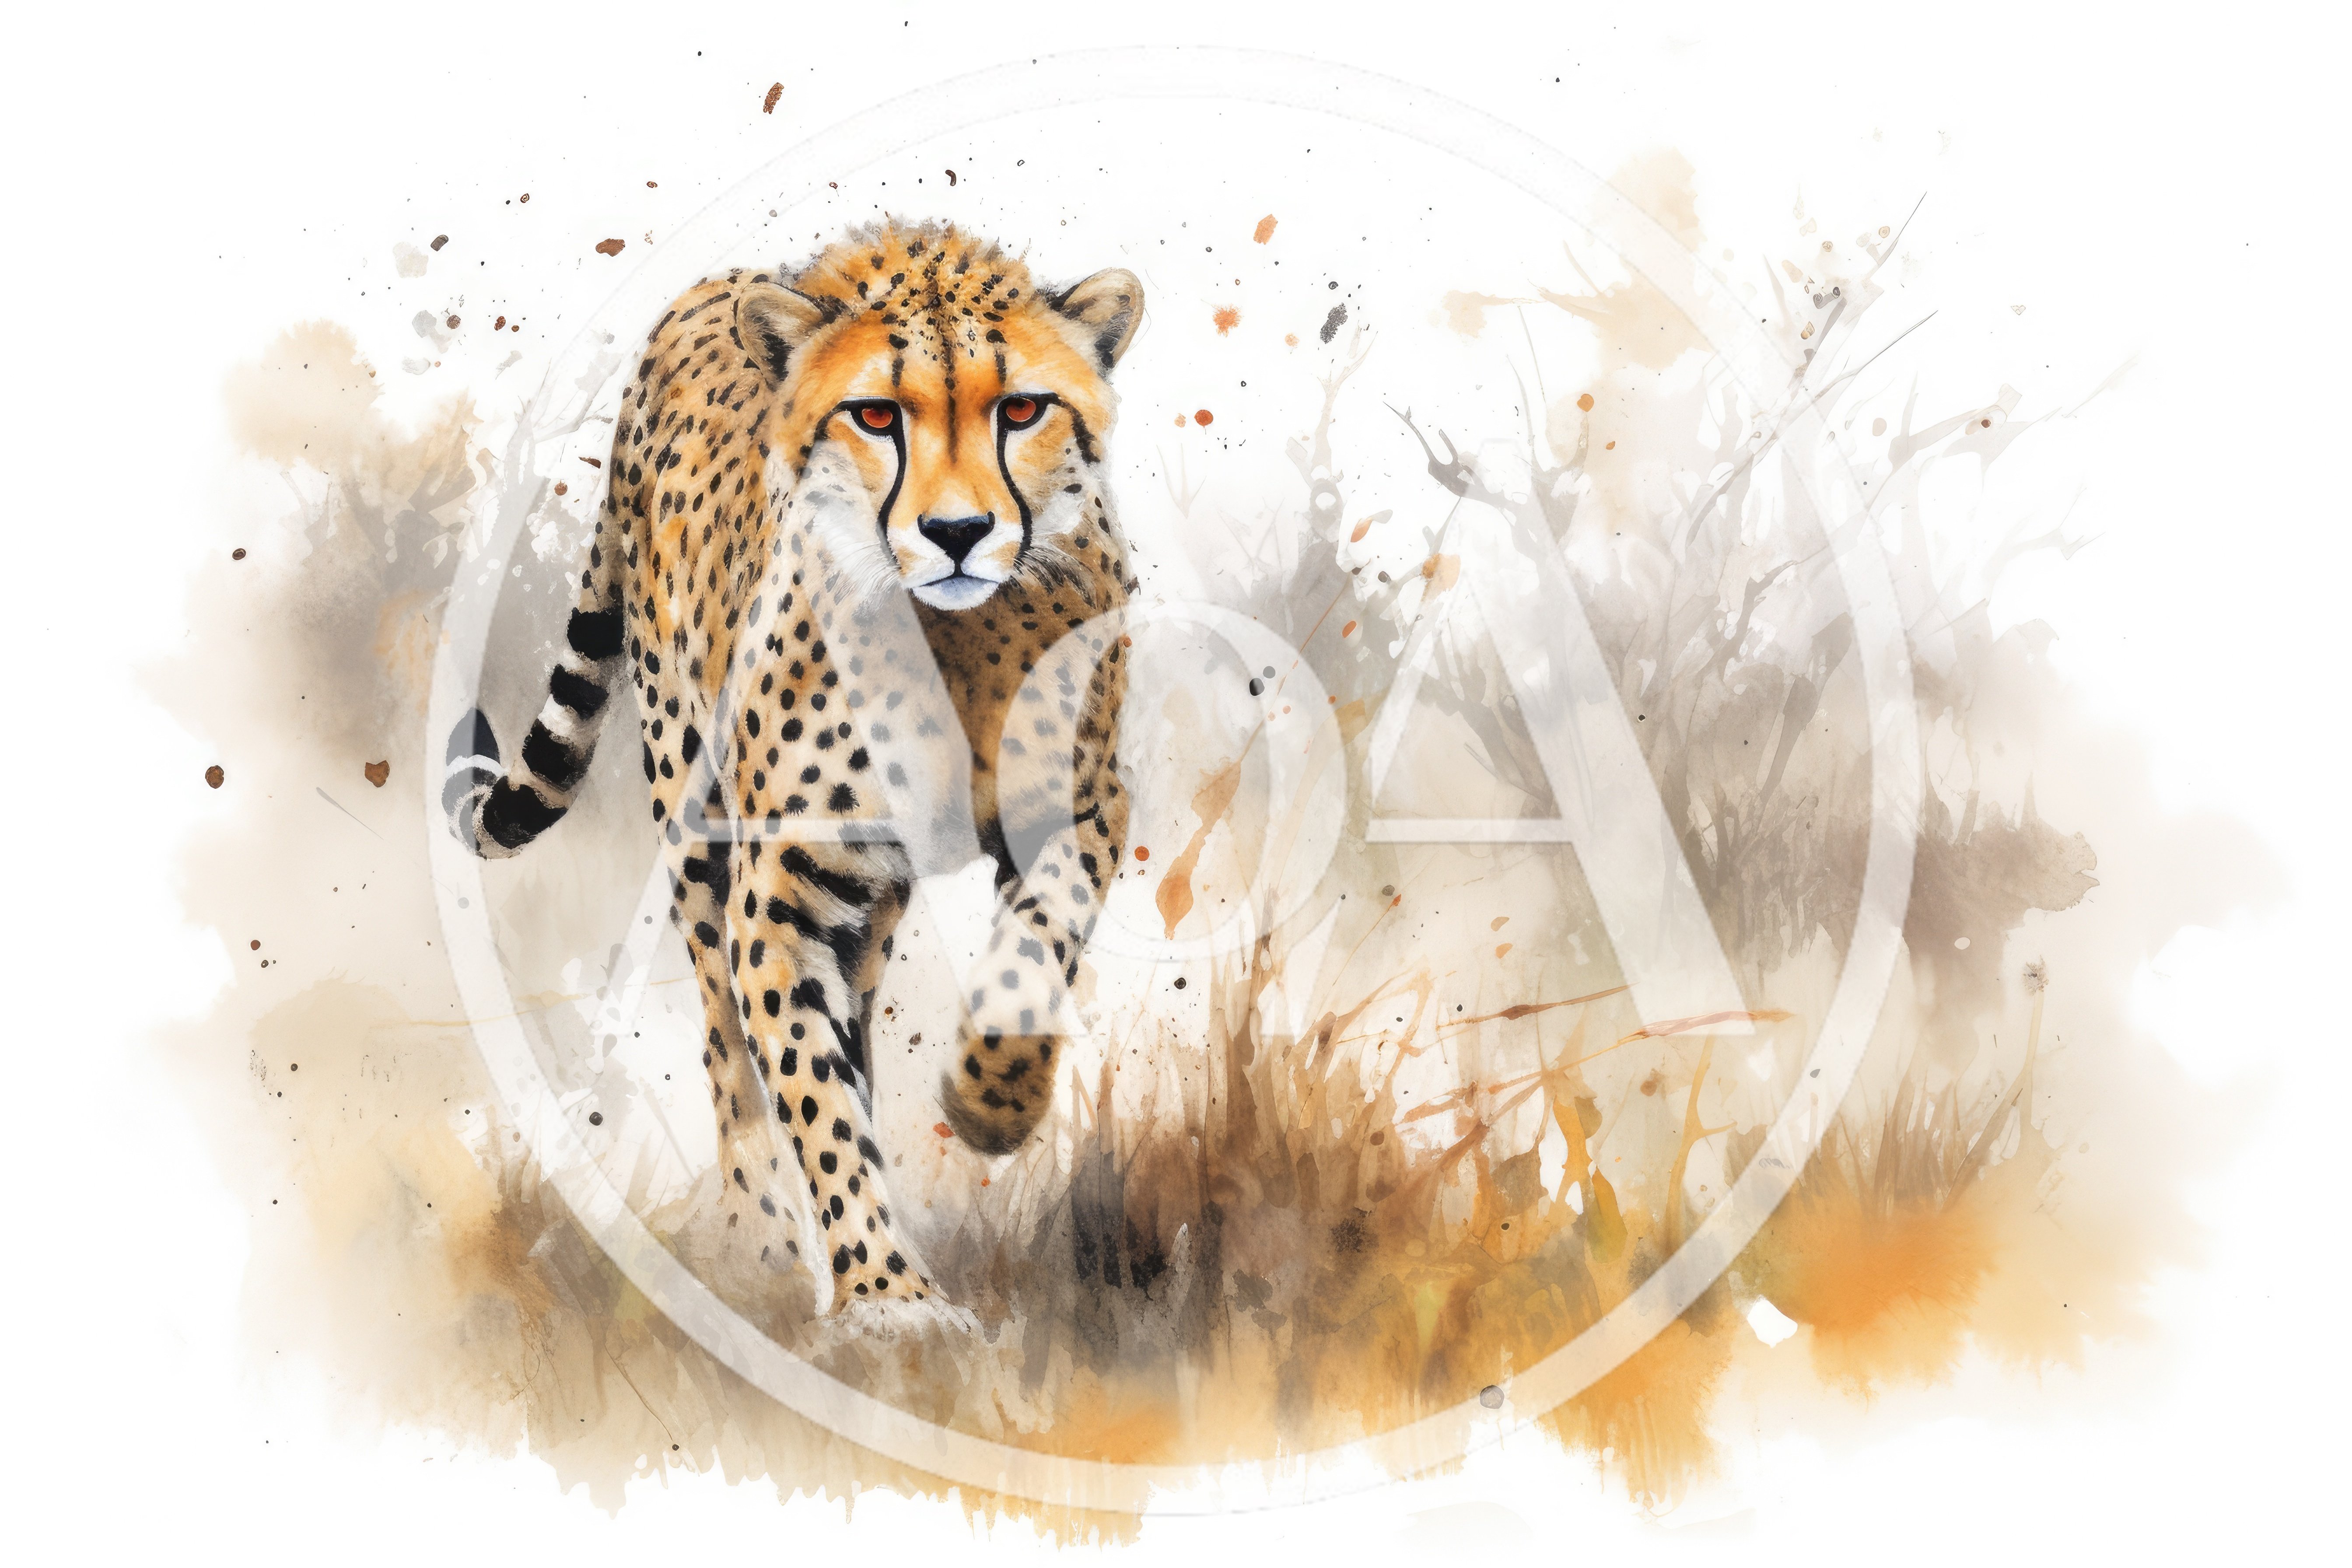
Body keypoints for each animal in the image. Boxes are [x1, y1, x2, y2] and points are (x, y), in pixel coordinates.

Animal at [441, 219, 1141, 1314]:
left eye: (1023, 408)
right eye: (876, 415)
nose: (957, 533)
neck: (951, 645)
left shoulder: (1080, 804)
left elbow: (1035, 952)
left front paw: (991, 1103)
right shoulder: (781, 889)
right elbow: (807, 1087)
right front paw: (889, 1295)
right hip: (695, 825)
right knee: (728, 1039)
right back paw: (757, 1240)